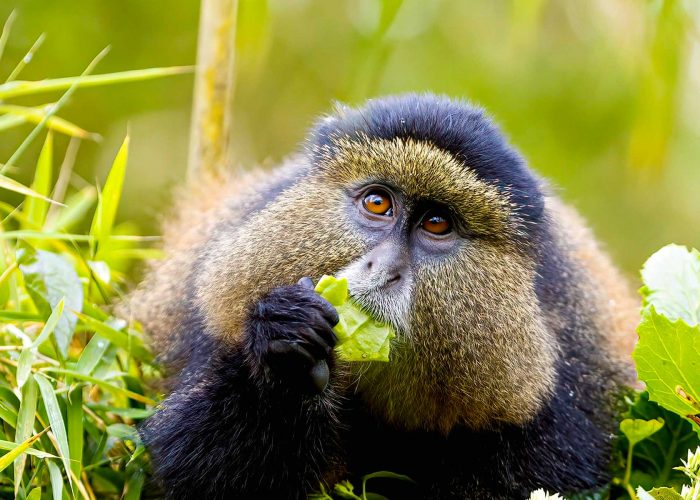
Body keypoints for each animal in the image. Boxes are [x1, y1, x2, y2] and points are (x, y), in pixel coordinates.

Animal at [128, 93, 639, 499]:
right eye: (378, 203)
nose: (384, 270)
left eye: (437, 224)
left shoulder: (559, 406)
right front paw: (287, 345)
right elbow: (200, 470)